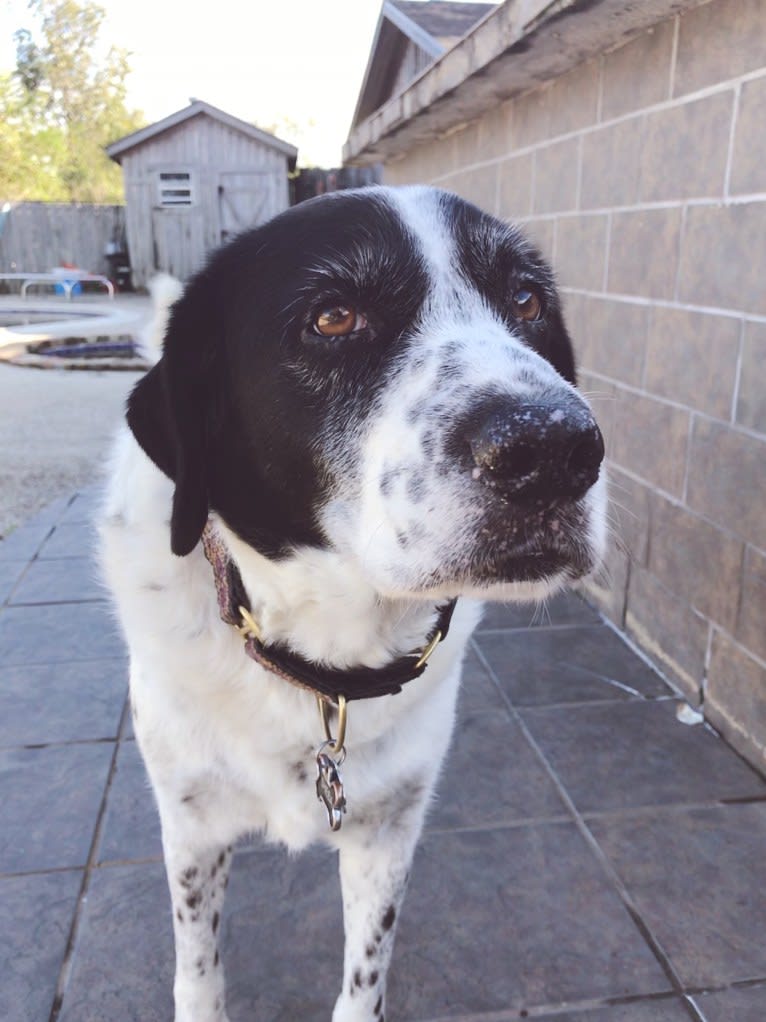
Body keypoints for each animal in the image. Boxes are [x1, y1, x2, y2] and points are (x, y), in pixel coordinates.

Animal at [99, 186, 608, 1021]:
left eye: (528, 301)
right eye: (333, 317)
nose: (554, 450)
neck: (324, 663)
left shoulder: (388, 828)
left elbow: (366, 972)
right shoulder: (191, 823)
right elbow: (198, 965)